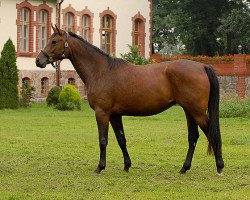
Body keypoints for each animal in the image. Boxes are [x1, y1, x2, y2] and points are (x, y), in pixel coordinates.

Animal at [35, 25, 225, 175]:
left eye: (54, 41)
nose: (39, 60)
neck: (102, 71)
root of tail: (202, 66)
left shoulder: (102, 113)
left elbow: (103, 140)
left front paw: (99, 167)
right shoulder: (114, 115)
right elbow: (121, 139)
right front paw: (127, 166)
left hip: (196, 112)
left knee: (211, 133)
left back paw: (219, 167)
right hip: (189, 111)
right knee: (193, 137)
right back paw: (184, 168)